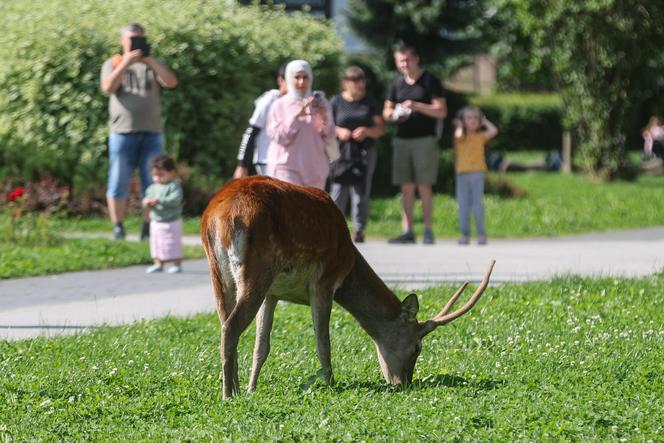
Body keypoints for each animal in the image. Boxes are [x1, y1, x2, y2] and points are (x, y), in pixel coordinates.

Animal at [200, 176, 496, 398]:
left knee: (225, 323)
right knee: (230, 327)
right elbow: (323, 340)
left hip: (220, 274)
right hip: (256, 270)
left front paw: (252, 388)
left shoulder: (274, 293)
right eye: (416, 348)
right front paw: (330, 384)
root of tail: (217, 217)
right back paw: (227, 394)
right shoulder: (325, 280)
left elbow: (262, 346)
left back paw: (236, 389)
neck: (349, 261)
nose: (403, 383)